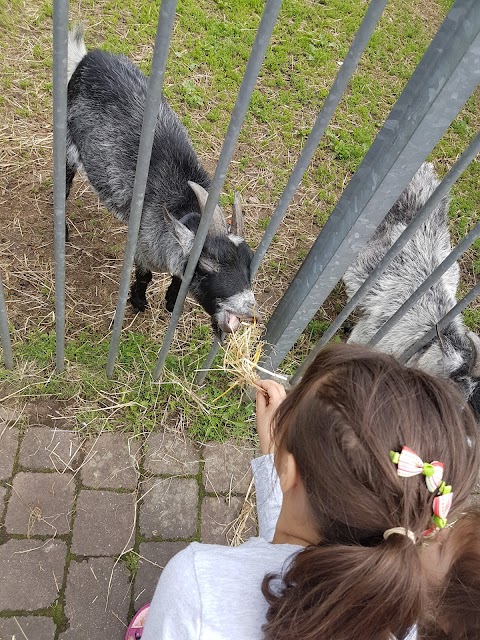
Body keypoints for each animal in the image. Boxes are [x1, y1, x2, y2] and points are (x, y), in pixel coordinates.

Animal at [66, 25, 258, 336]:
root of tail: (87, 58)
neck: (182, 203)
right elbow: (145, 276)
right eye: (206, 265)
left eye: (249, 264)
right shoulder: (144, 245)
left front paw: (170, 300)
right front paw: (138, 301)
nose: (249, 311)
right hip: (70, 145)